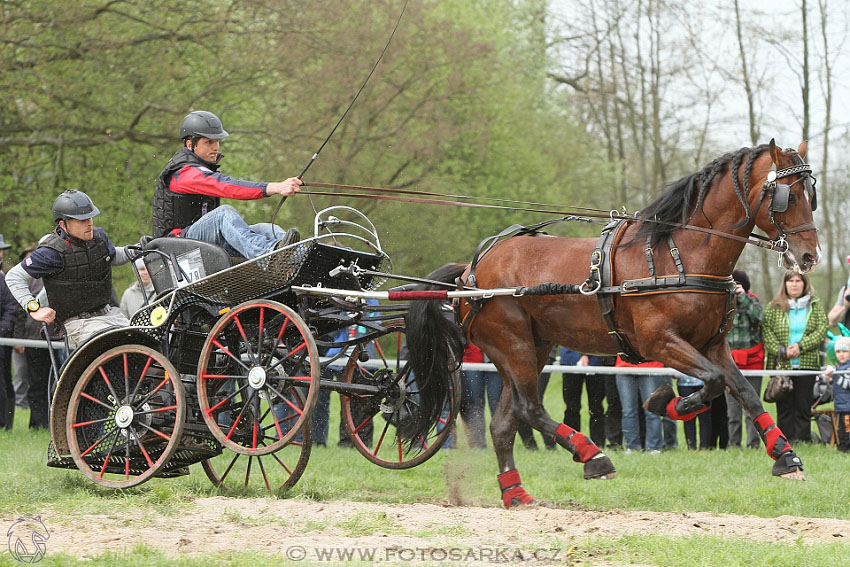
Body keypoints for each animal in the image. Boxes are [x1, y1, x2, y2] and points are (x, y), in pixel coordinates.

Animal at [408, 140, 820, 508]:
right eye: (788, 196)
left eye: (811, 194)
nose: (809, 256)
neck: (681, 255)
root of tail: (469, 273)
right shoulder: (660, 342)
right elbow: (715, 382)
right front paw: (670, 403)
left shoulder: (713, 345)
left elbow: (743, 391)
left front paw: (784, 454)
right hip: (514, 345)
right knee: (528, 410)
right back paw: (592, 455)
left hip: (531, 349)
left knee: (504, 423)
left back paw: (515, 493)